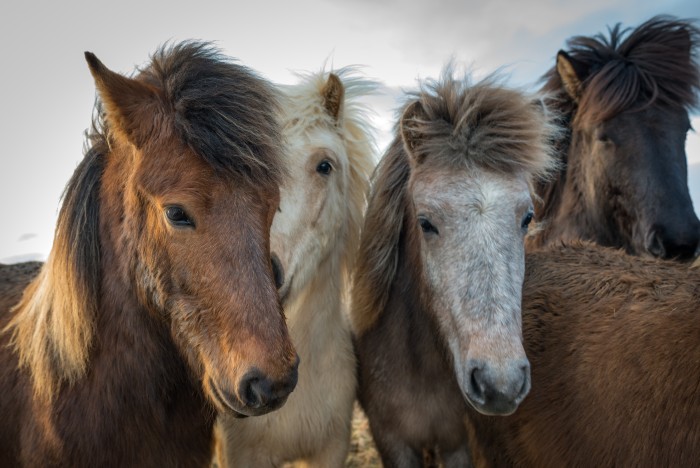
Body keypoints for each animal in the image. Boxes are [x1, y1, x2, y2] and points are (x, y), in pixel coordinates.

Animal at [352, 67, 560, 466]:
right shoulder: (392, 442)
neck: (422, 370)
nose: (500, 384)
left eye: (527, 218)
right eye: (426, 222)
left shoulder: (458, 442)